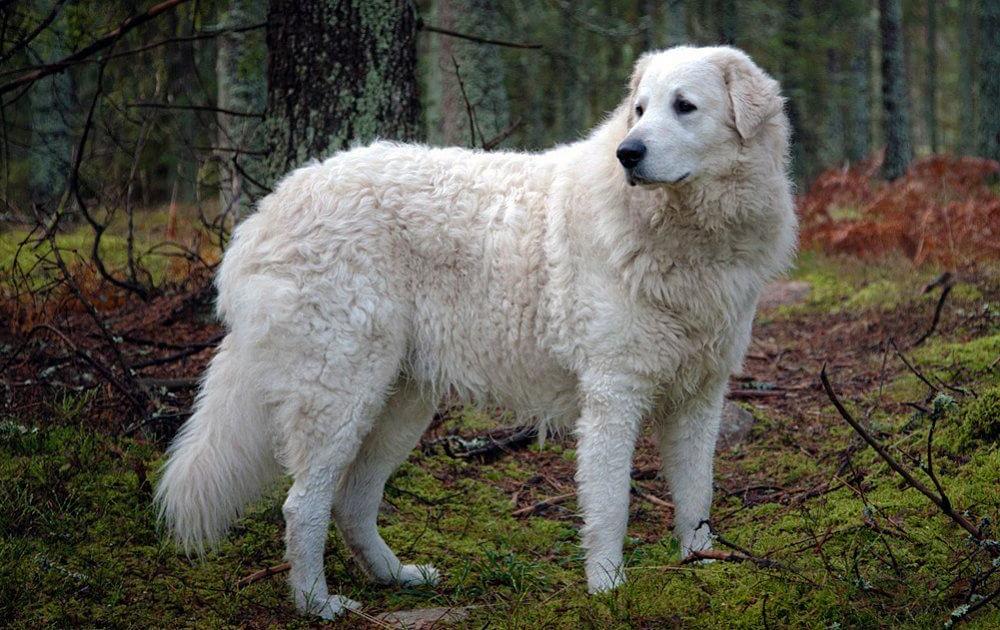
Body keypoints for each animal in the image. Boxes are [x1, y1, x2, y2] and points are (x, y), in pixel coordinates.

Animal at [154, 45, 796, 624]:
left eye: (684, 106)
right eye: (639, 110)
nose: (627, 153)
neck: (687, 235)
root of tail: (271, 209)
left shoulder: (700, 397)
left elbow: (697, 495)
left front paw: (703, 567)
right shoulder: (614, 396)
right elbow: (611, 505)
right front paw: (609, 589)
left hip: (401, 404)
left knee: (352, 501)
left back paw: (396, 576)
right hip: (339, 394)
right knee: (302, 506)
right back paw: (318, 604)